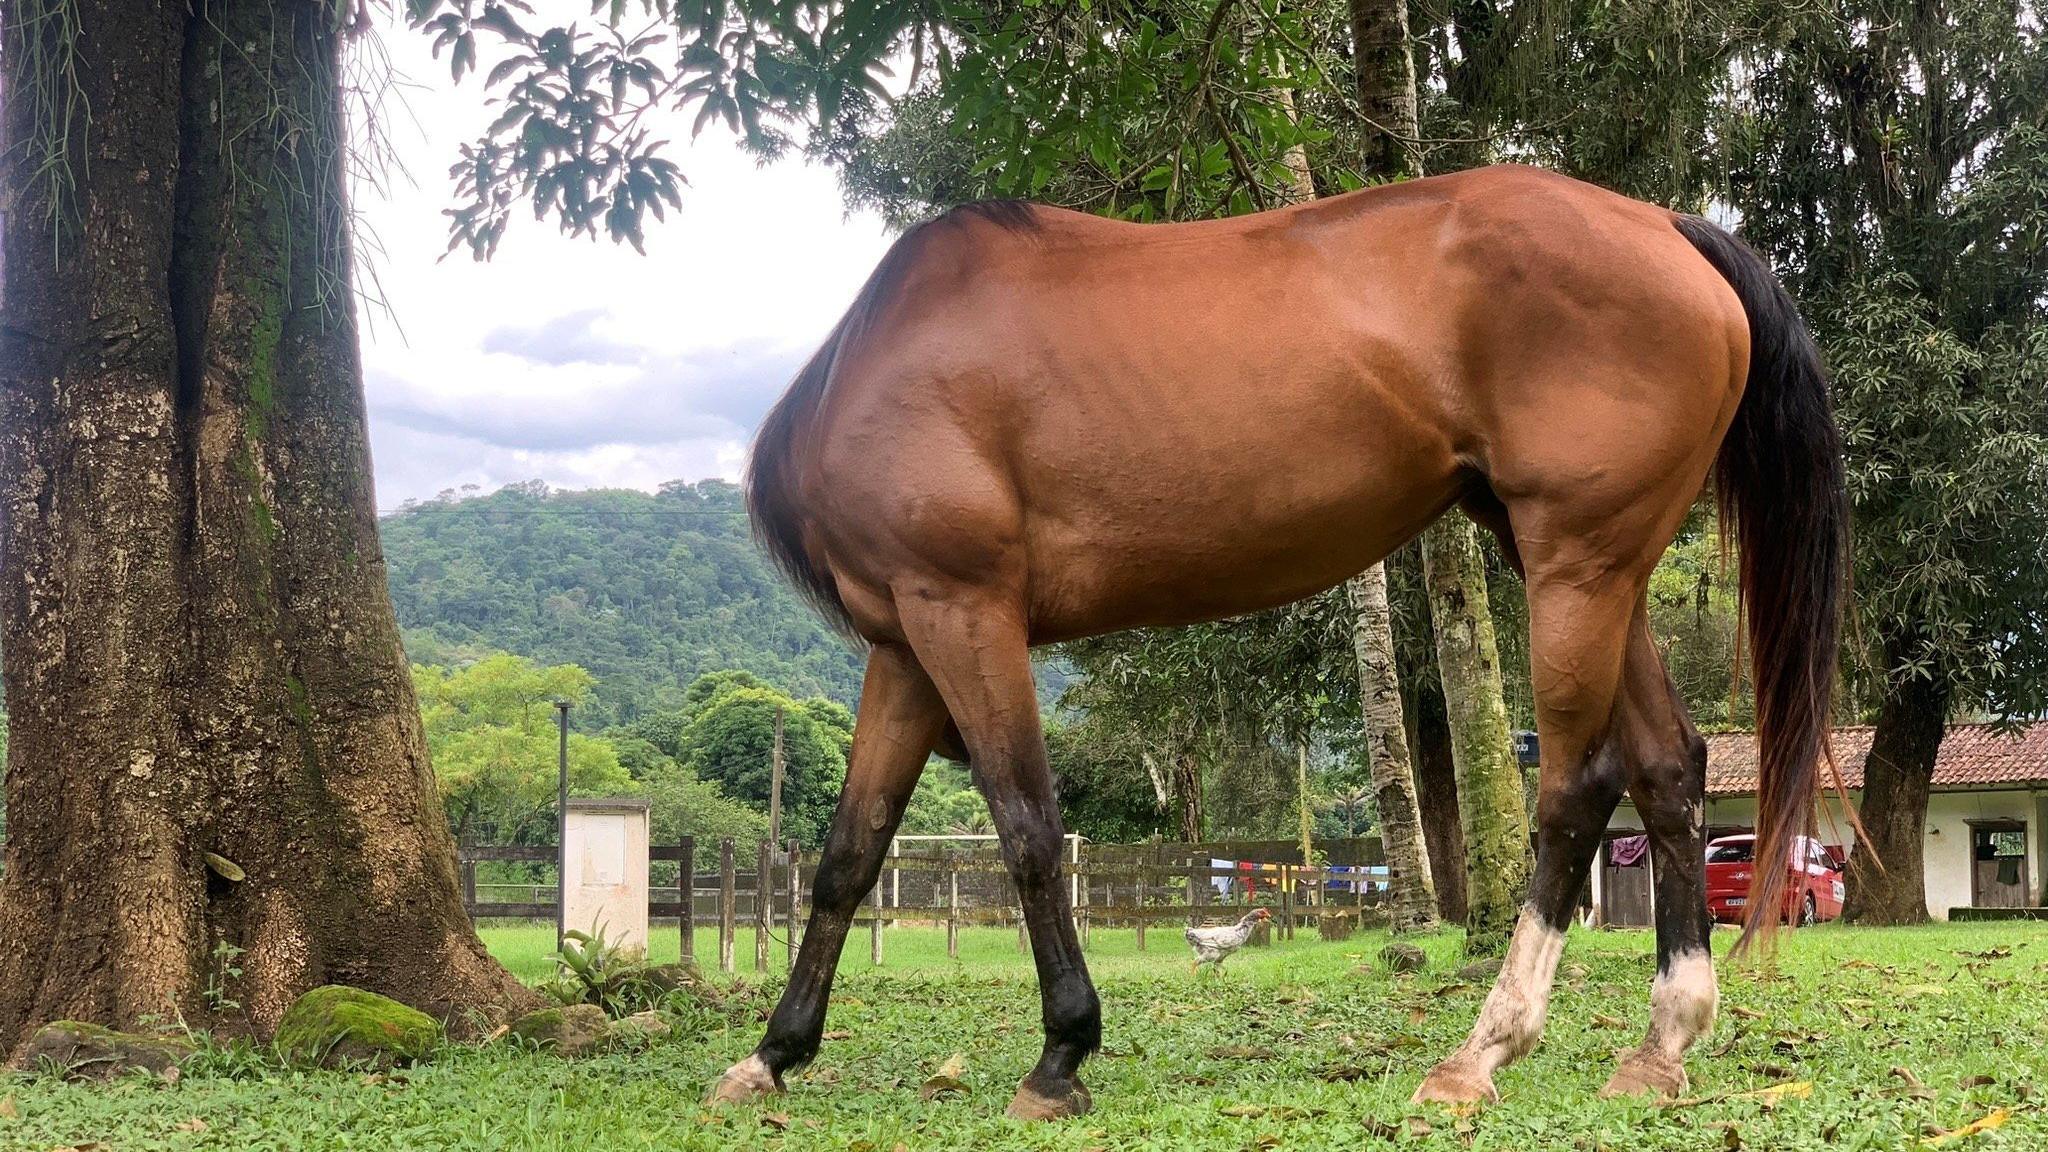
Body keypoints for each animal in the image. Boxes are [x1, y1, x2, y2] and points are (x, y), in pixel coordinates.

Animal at [712, 163, 1851, 1115]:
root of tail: (1663, 224)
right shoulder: (904, 643)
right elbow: (848, 855)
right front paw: (771, 1055)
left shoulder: (963, 610)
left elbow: (1028, 830)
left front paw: (1061, 1054)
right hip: (1590, 567)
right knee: (1666, 766)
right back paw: (1662, 1043)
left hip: (1576, 565)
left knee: (1576, 788)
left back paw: (1481, 1051)